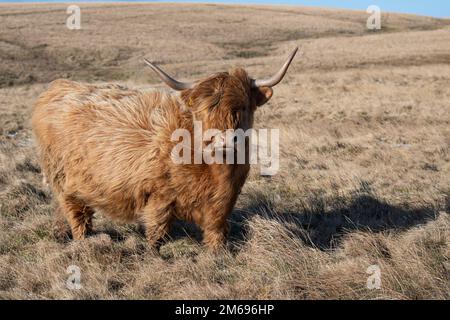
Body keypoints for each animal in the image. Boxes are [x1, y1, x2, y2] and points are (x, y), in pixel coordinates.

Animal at [32, 47, 298, 250]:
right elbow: (156, 233)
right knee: (76, 213)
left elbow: (216, 233)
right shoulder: (158, 197)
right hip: (63, 180)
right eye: (201, 111)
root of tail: (59, 88)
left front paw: (216, 255)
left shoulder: (222, 205)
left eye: (241, 107)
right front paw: (154, 254)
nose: (222, 140)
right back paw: (83, 241)